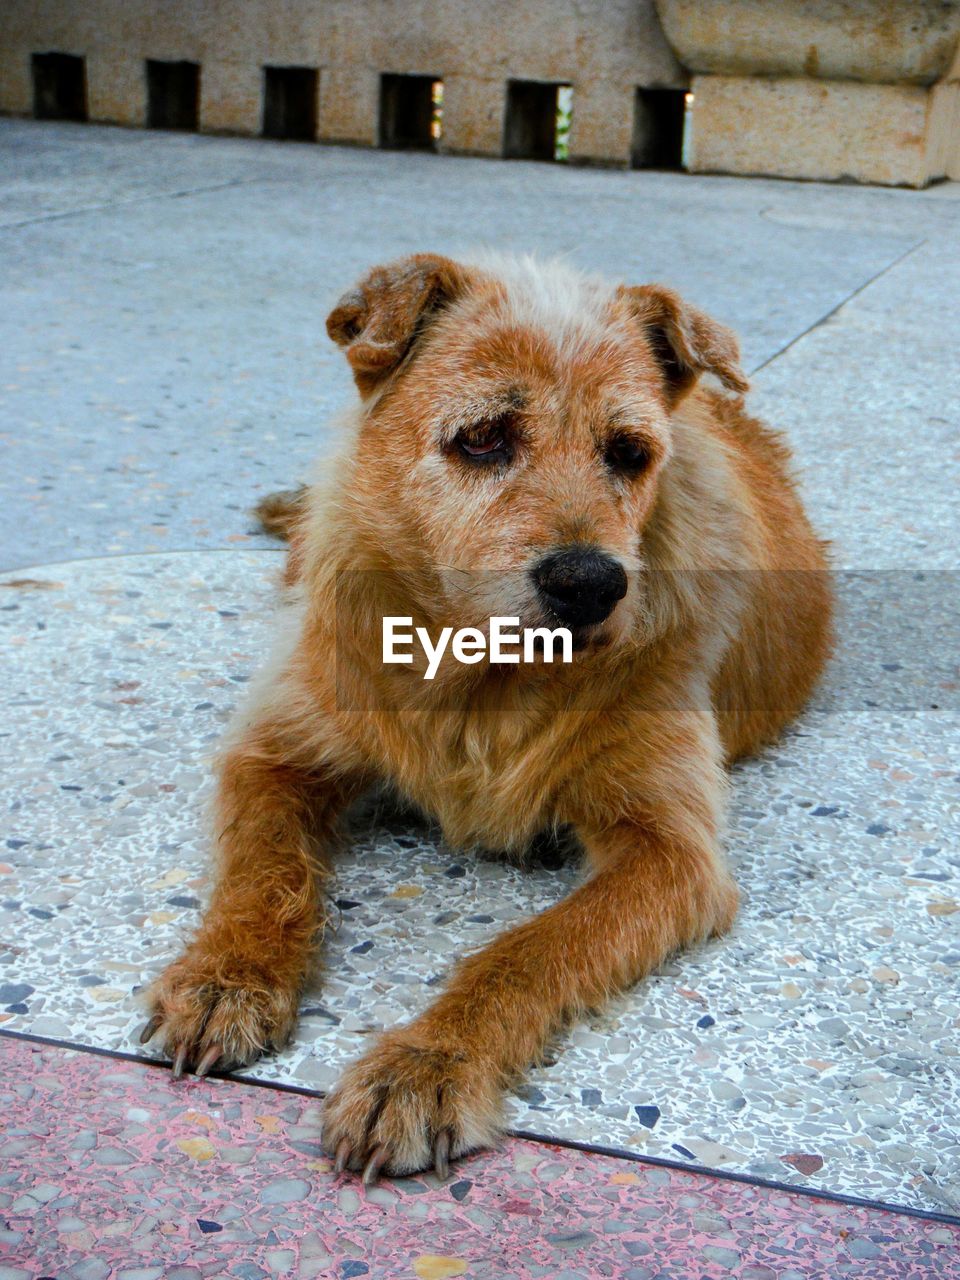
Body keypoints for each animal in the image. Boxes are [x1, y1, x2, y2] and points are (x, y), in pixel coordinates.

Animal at [136, 254, 834, 1182]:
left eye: (629, 453)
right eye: (481, 437)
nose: (591, 585)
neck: (483, 680)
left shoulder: (670, 855)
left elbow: (529, 953)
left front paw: (429, 1062)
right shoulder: (277, 751)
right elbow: (266, 867)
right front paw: (230, 976)